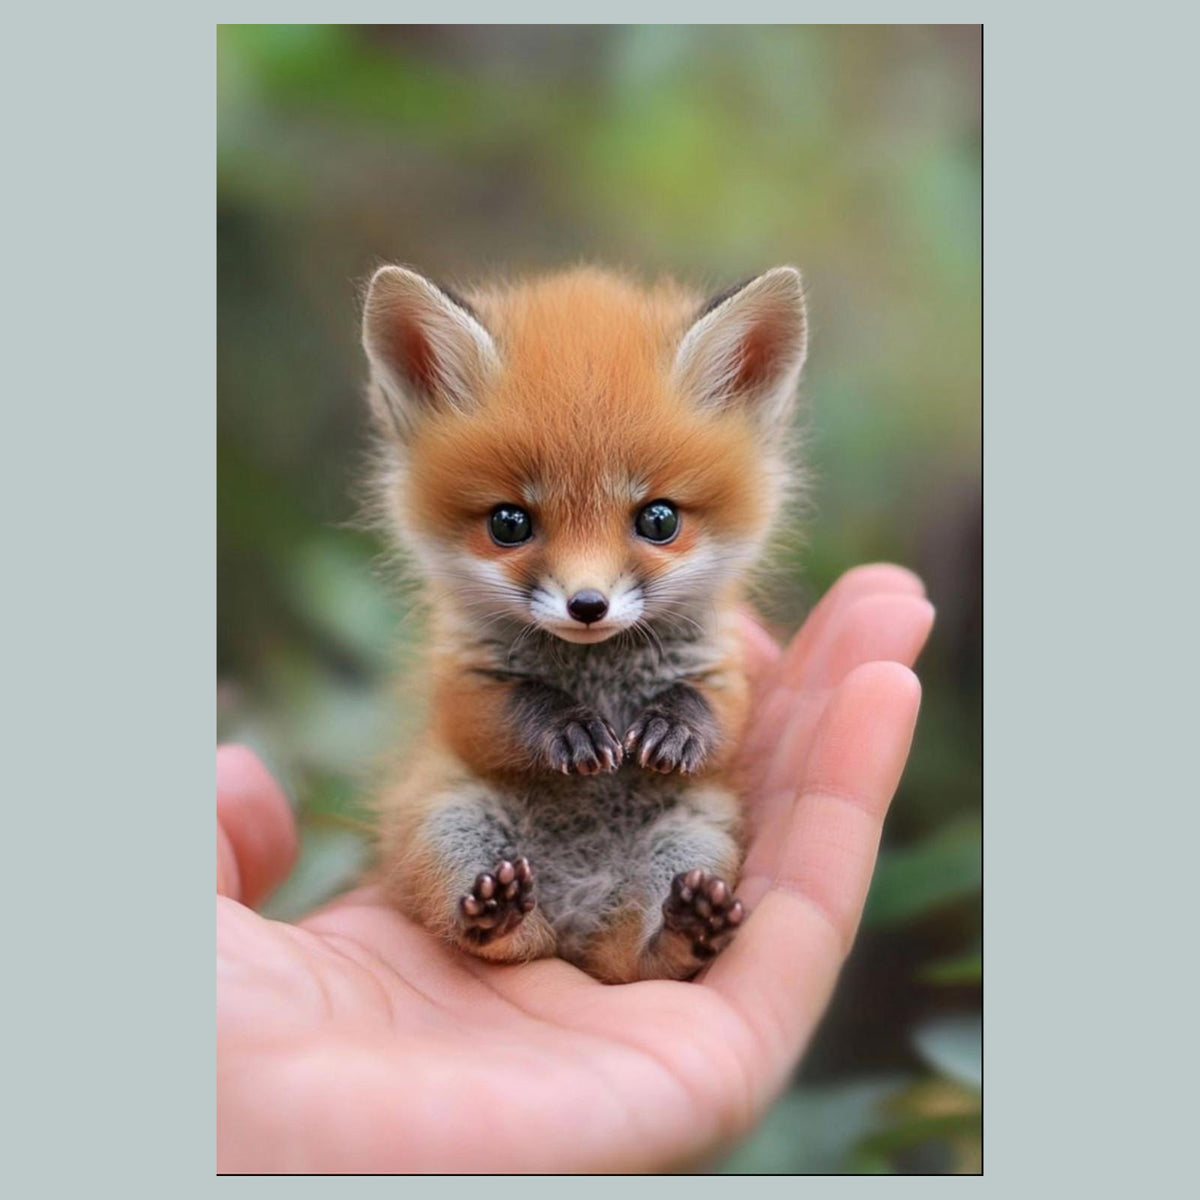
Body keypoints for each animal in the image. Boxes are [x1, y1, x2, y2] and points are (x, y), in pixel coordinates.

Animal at [361, 263, 807, 983]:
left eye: (659, 519)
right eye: (508, 523)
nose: (588, 605)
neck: (597, 671)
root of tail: (577, 921)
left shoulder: (724, 672)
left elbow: (717, 714)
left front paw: (674, 727)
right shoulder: (463, 683)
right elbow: (504, 709)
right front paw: (566, 729)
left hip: (694, 835)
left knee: (640, 964)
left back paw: (688, 928)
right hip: (452, 824)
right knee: (506, 940)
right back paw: (498, 916)